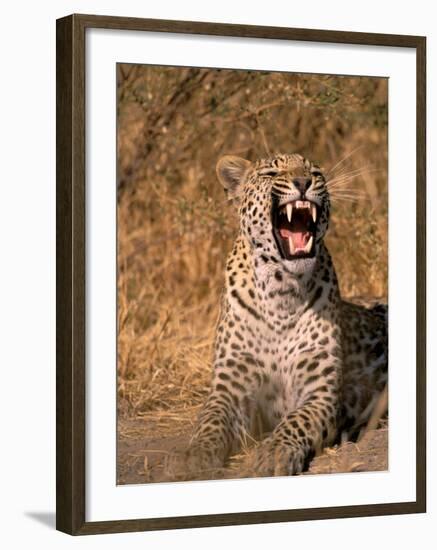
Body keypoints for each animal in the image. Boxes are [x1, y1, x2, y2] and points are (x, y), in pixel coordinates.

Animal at [169, 153, 386, 480]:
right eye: (272, 173)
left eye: (315, 172)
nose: (303, 181)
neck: (281, 292)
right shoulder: (229, 388)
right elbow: (210, 421)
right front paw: (195, 457)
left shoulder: (319, 393)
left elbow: (296, 421)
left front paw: (272, 453)